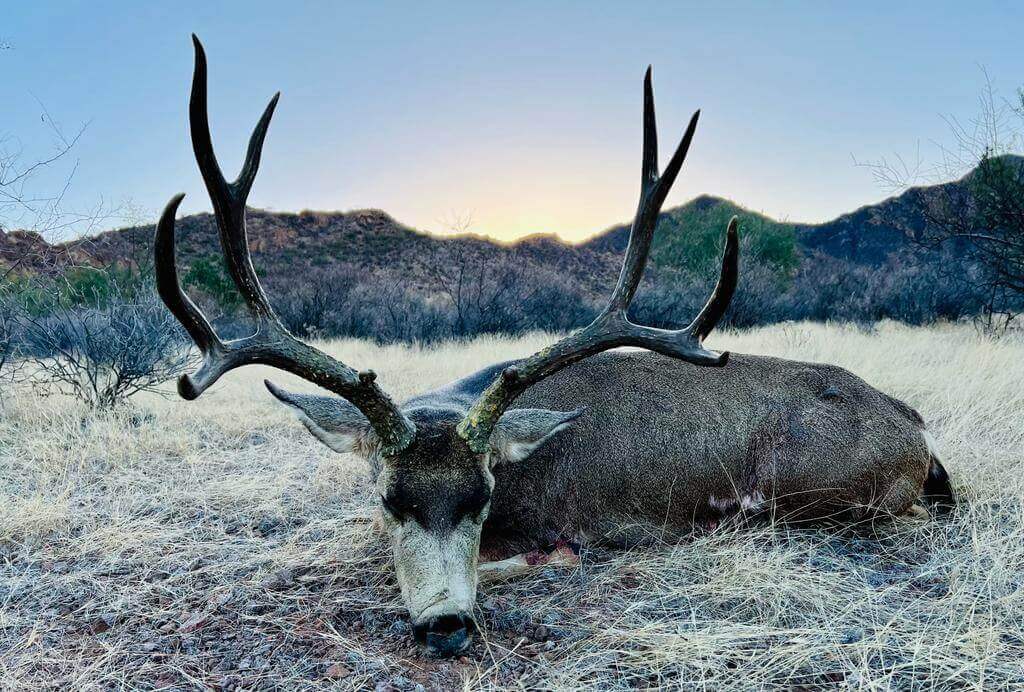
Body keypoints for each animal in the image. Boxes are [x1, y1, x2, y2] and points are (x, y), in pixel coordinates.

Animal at [155, 36, 954, 657]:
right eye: (388, 497)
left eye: (482, 496)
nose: (446, 627)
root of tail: (913, 425)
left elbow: (534, 557)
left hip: (820, 494)